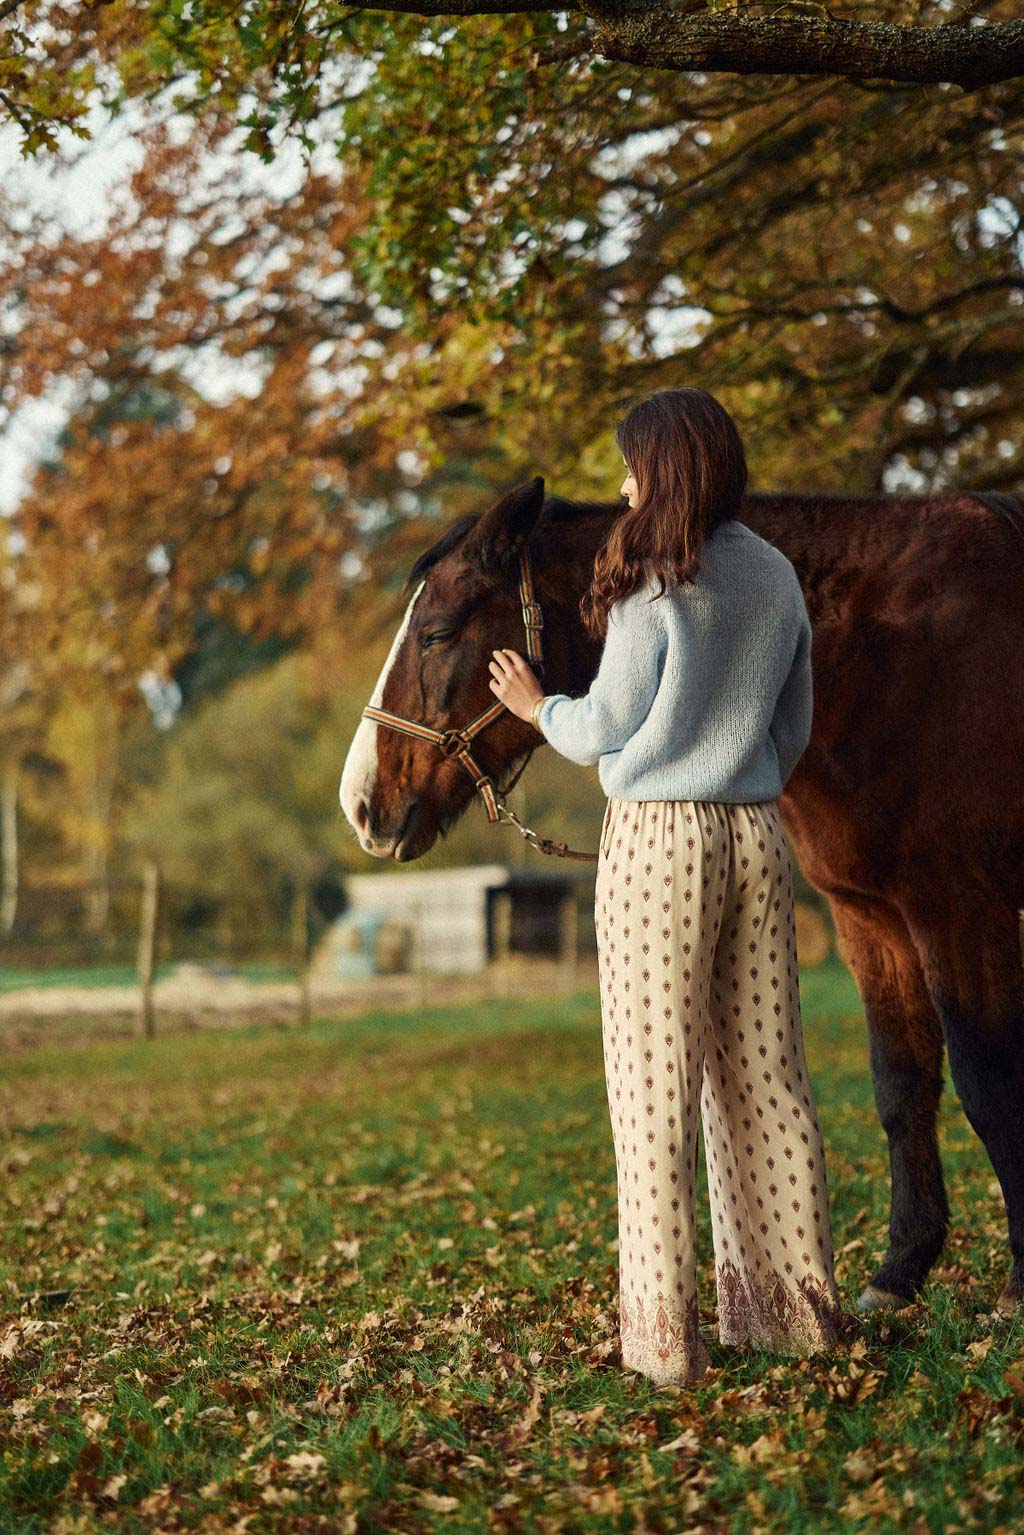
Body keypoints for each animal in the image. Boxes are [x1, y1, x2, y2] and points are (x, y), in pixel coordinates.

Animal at [342, 478, 1024, 1320]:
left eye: (436, 634)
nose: (361, 803)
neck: (890, 657)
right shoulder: (872, 918)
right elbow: (902, 1086)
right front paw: (899, 1271)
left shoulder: (960, 910)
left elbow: (990, 1085)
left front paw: (1017, 1282)